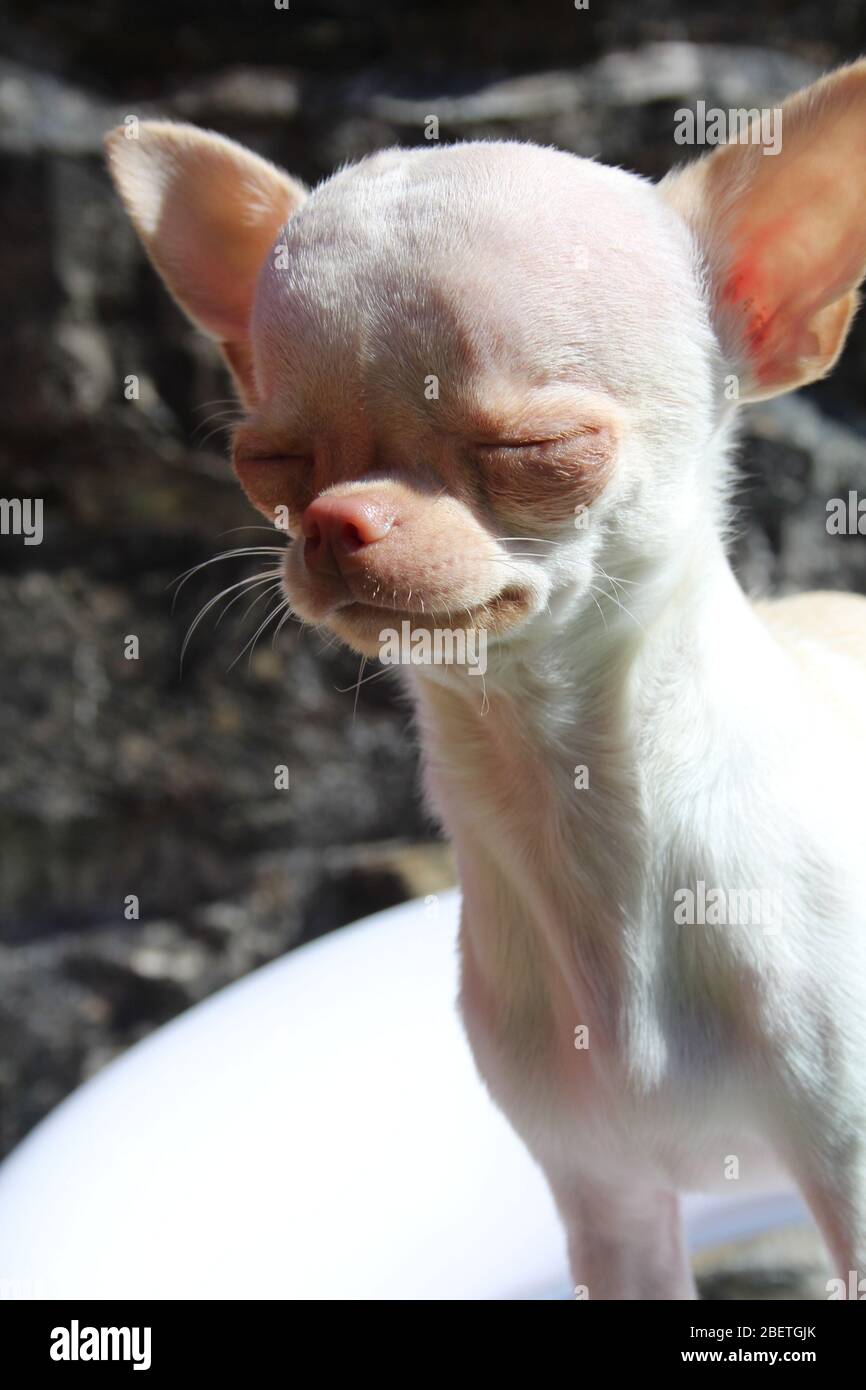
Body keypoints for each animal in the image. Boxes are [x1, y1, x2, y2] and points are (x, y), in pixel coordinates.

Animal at [107, 59, 866, 1295]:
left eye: (533, 451)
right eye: (267, 463)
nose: (334, 520)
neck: (572, 806)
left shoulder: (849, 1171)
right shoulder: (605, 1199)